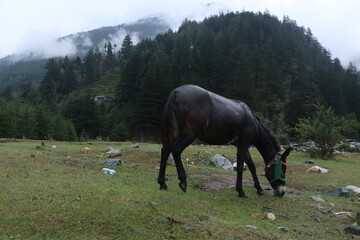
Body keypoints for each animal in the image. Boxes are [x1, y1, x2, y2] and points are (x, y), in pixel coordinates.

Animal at [156, 84, 292, 197]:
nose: (282, 192)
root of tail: (175, 93)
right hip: (191, 132)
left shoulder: (241, 145)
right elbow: (241, 166)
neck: (254, 123)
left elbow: (252, 166)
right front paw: (240, 191)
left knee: (166, 150)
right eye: (283, 170)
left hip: (173, 130)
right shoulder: (244, 143)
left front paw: (259, 188)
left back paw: (162, 183)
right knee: (176, 149)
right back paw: (183, 181)